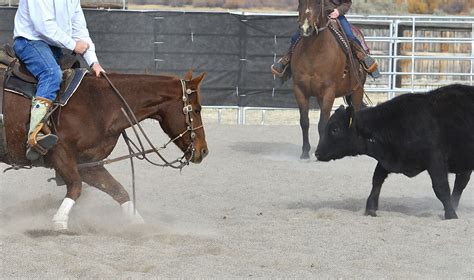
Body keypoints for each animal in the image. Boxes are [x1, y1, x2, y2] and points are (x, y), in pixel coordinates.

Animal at [0, 69, 207, 231]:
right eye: (197, 109)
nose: (203, 151)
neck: (100, 104)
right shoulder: (60, 154)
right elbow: (76, 187)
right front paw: (60, 221)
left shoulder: (88, 163)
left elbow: (118, 191)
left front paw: (138, 223)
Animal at [292, 0, 366, 159]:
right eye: (300, 2)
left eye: (318, 3)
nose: (305, 28)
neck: (314, 53)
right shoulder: (299, 90)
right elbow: (304, 122)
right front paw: (305, 153)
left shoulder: (328, 92)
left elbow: (322, 124)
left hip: (357, 90)